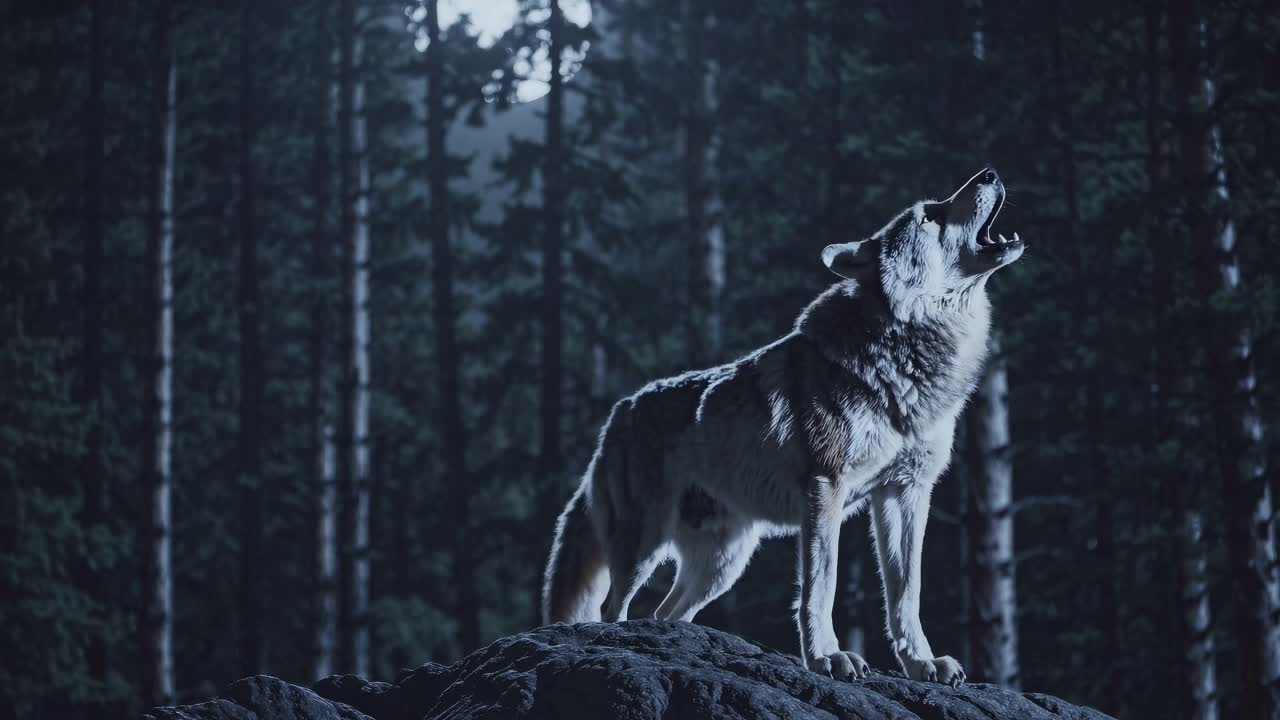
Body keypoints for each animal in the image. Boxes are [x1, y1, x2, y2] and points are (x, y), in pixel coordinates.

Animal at [543, 169, 1022, 686]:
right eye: (929, 216)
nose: (991, 173)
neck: (910, 356)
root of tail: (617, 414)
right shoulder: (825, 488)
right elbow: (822, 584)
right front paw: (827, 657)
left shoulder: (906, 492)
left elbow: (906, 592)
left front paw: (921, 663)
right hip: (644, 545)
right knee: (613, 608)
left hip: (722, 565)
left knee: (665, 613)